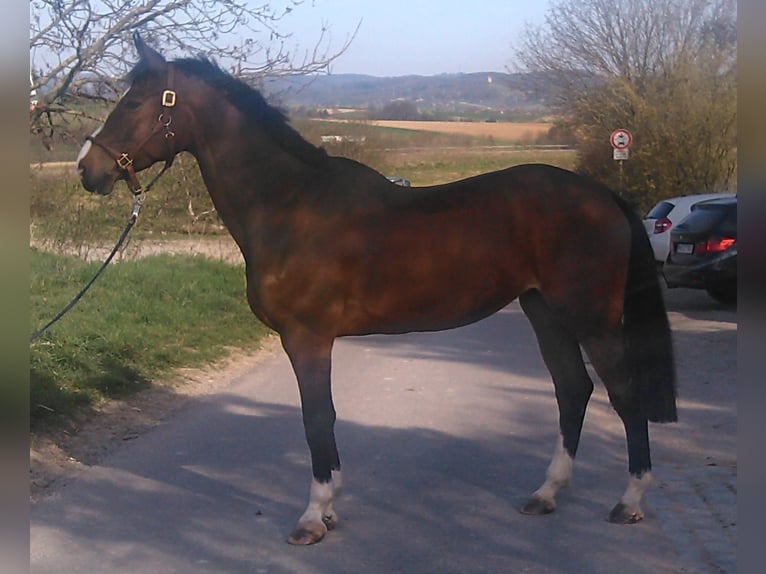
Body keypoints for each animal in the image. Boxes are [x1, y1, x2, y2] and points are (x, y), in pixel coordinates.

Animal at [78, 33, 680, 548]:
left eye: (135, 102)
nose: (88, 169)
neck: (290, 204)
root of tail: (602, 196)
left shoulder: (307, 338)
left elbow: (316, 418)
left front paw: (313, 516)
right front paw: (328, 510)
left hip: (590, 317)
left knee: (624, 394)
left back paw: (629, 502)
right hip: (544, 311)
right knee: (572, 390)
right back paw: (546, 493)